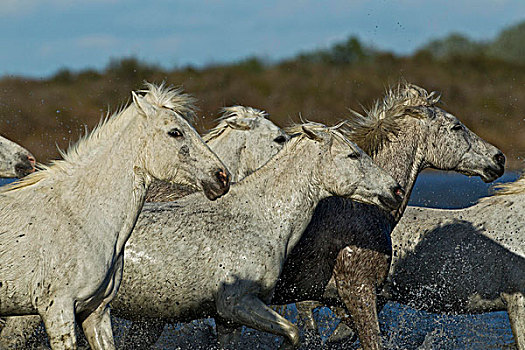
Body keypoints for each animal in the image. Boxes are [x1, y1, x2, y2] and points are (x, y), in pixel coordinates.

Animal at [101, 121, 402, 348]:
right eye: (353, 155)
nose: (395, 190)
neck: (260, 218)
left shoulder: (228, 319)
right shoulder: (237, 303)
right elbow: (293, 332)